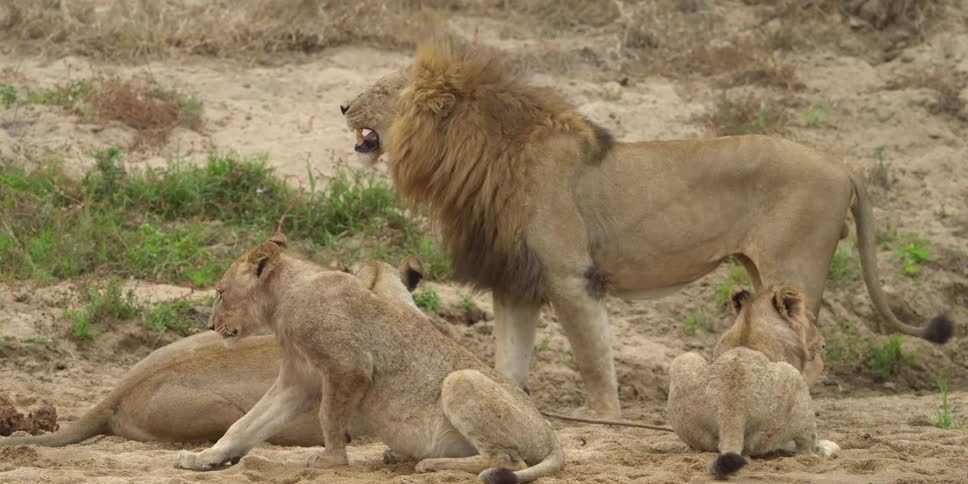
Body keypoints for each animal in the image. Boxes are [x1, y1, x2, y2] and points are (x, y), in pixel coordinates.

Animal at [174, 234, 563, 484]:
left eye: (220, 292)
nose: (209, 325)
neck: (283, 303)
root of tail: (552, 434)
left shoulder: (350, 365)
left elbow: (329, 416)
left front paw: (330, 460)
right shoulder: (296, 381)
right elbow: (245, 425)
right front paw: (201, 458)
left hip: (461, 380)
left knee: (507, 459)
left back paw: (433, 463)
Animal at [340, 37, 954, 418]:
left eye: (381, 91)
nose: (343, 105)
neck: (476, 156)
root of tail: (842, 164)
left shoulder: (571, 277)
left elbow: (592, 360)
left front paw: (604, 418)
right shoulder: (515, 281)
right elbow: (507, 364)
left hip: (794, 267)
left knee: (812, 346)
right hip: (762, 272)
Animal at [668, 285, 840, 479]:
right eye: (811, 320)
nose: (823, 344)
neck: (748, 331)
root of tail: (732, 411)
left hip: (683, 360)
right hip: (795, 382)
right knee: (806, 450)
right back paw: (824, 449)